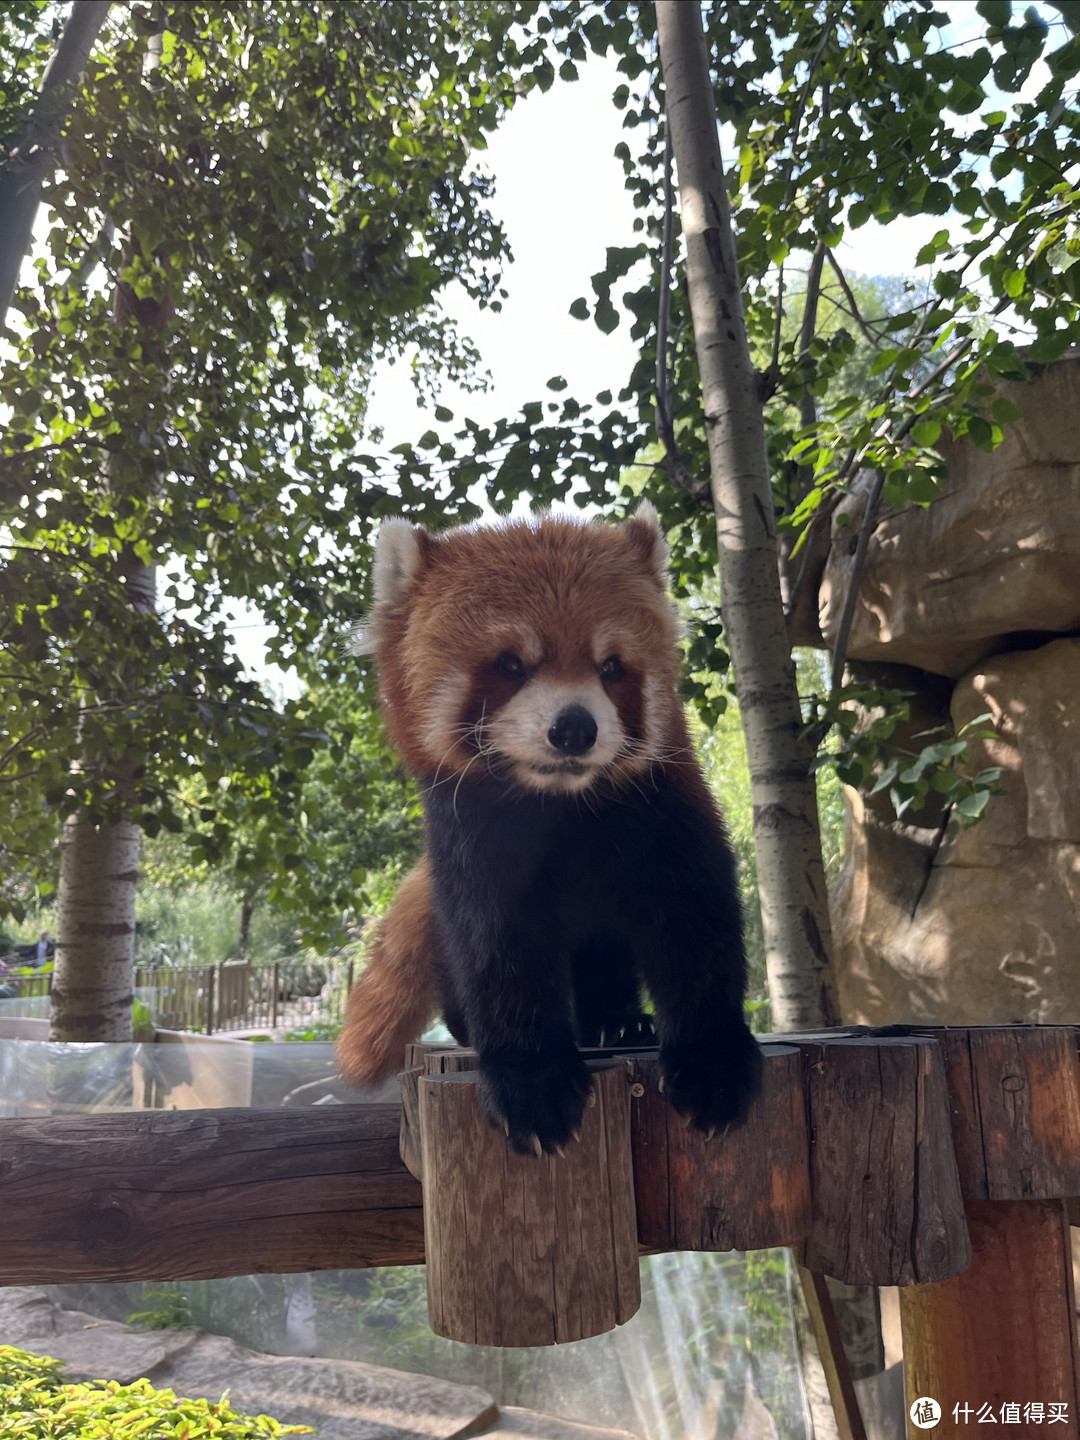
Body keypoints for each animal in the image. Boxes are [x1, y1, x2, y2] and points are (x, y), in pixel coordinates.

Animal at [338, 501, 760, 1152]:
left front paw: (713, 1061)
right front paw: (530, 1081)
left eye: (611, 667)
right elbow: (497, 948)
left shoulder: (664, 814)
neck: (562, 806)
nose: (574, 728)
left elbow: (694, 922)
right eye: (511, 665)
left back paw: (619, 1025)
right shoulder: (475, 839)